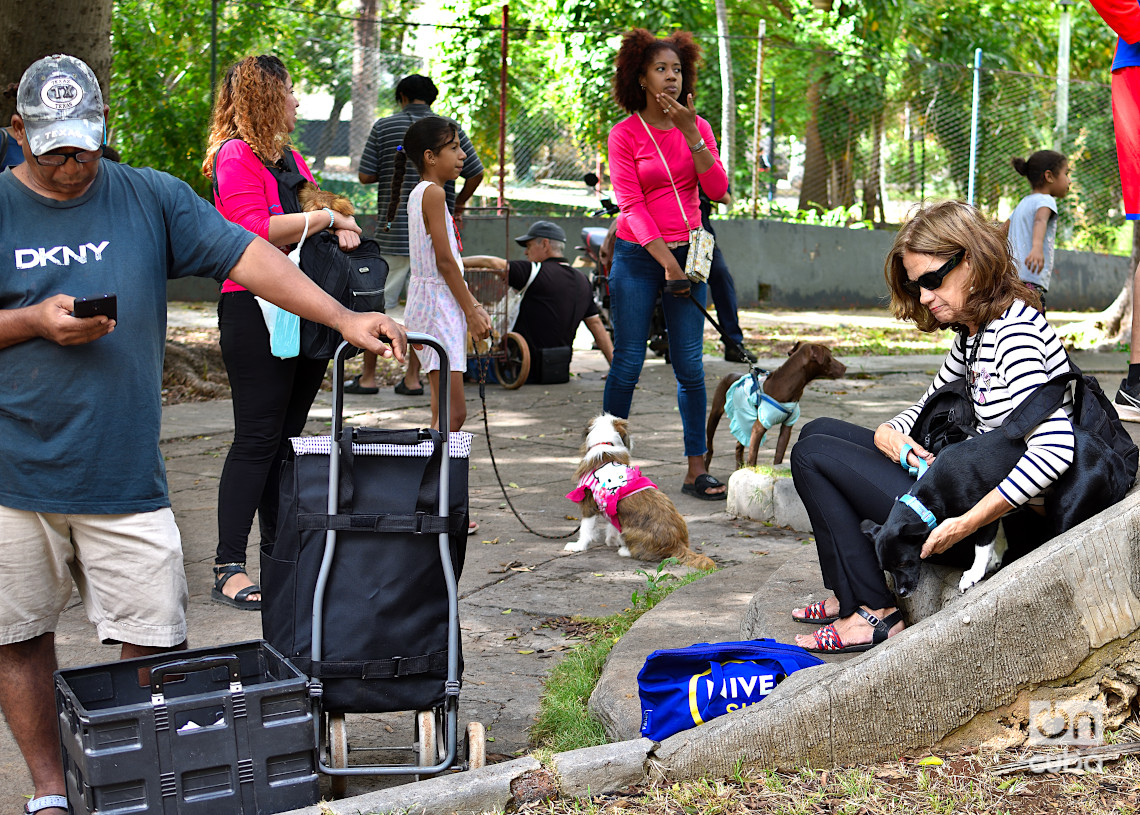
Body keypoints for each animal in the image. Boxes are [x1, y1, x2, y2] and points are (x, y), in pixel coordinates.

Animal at [567, 410, 715, 569]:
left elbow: (586, 528)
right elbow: (612, 525)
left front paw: (578, 546)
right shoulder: (612, 509)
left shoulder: (588, 502)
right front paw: (612, 540)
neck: (605, 445)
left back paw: (625, 550)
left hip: (629, 531)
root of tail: (677, 544)